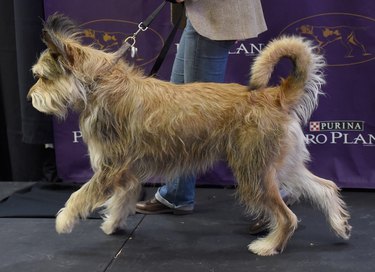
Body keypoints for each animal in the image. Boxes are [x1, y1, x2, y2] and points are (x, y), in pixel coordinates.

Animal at [27, 14, 352, 258]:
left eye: (42, 77)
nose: (30, 97)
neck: (99, 84)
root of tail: (275, 96)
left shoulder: (110, 168)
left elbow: (80, 195)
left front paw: (64, 220)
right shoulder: (127, 172)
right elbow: (122, 199)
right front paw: (113, 224)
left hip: (254, 173)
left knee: (288, 216)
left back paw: (269, 245)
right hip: (281, 165)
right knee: (324, 187)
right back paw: (339, 225)